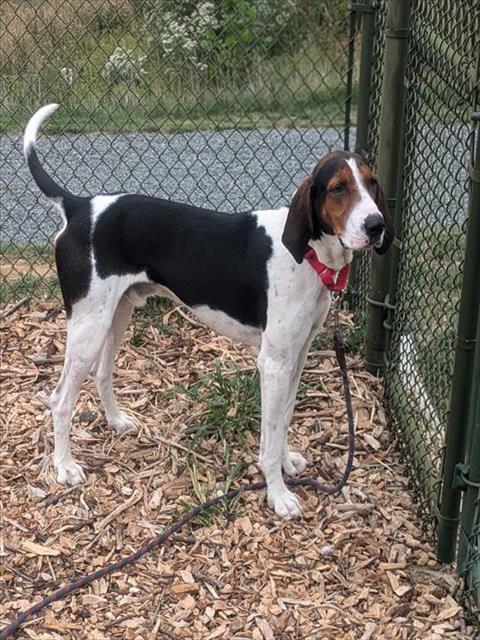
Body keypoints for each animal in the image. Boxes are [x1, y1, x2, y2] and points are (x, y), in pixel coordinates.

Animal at [22, 104, 392, 516]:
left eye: (372, 183)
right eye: (338, 188)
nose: (376, 225)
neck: (310, 256)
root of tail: (79, 206)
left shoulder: (297, 356)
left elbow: (283, 419)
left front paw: (285, 461)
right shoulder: (273, 363)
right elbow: (269, 434)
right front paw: (277, 494)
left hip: (116, 314)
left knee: (102, 373)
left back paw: (117, 422)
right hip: (88, 325)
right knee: (60, 400)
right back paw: (64, 466)